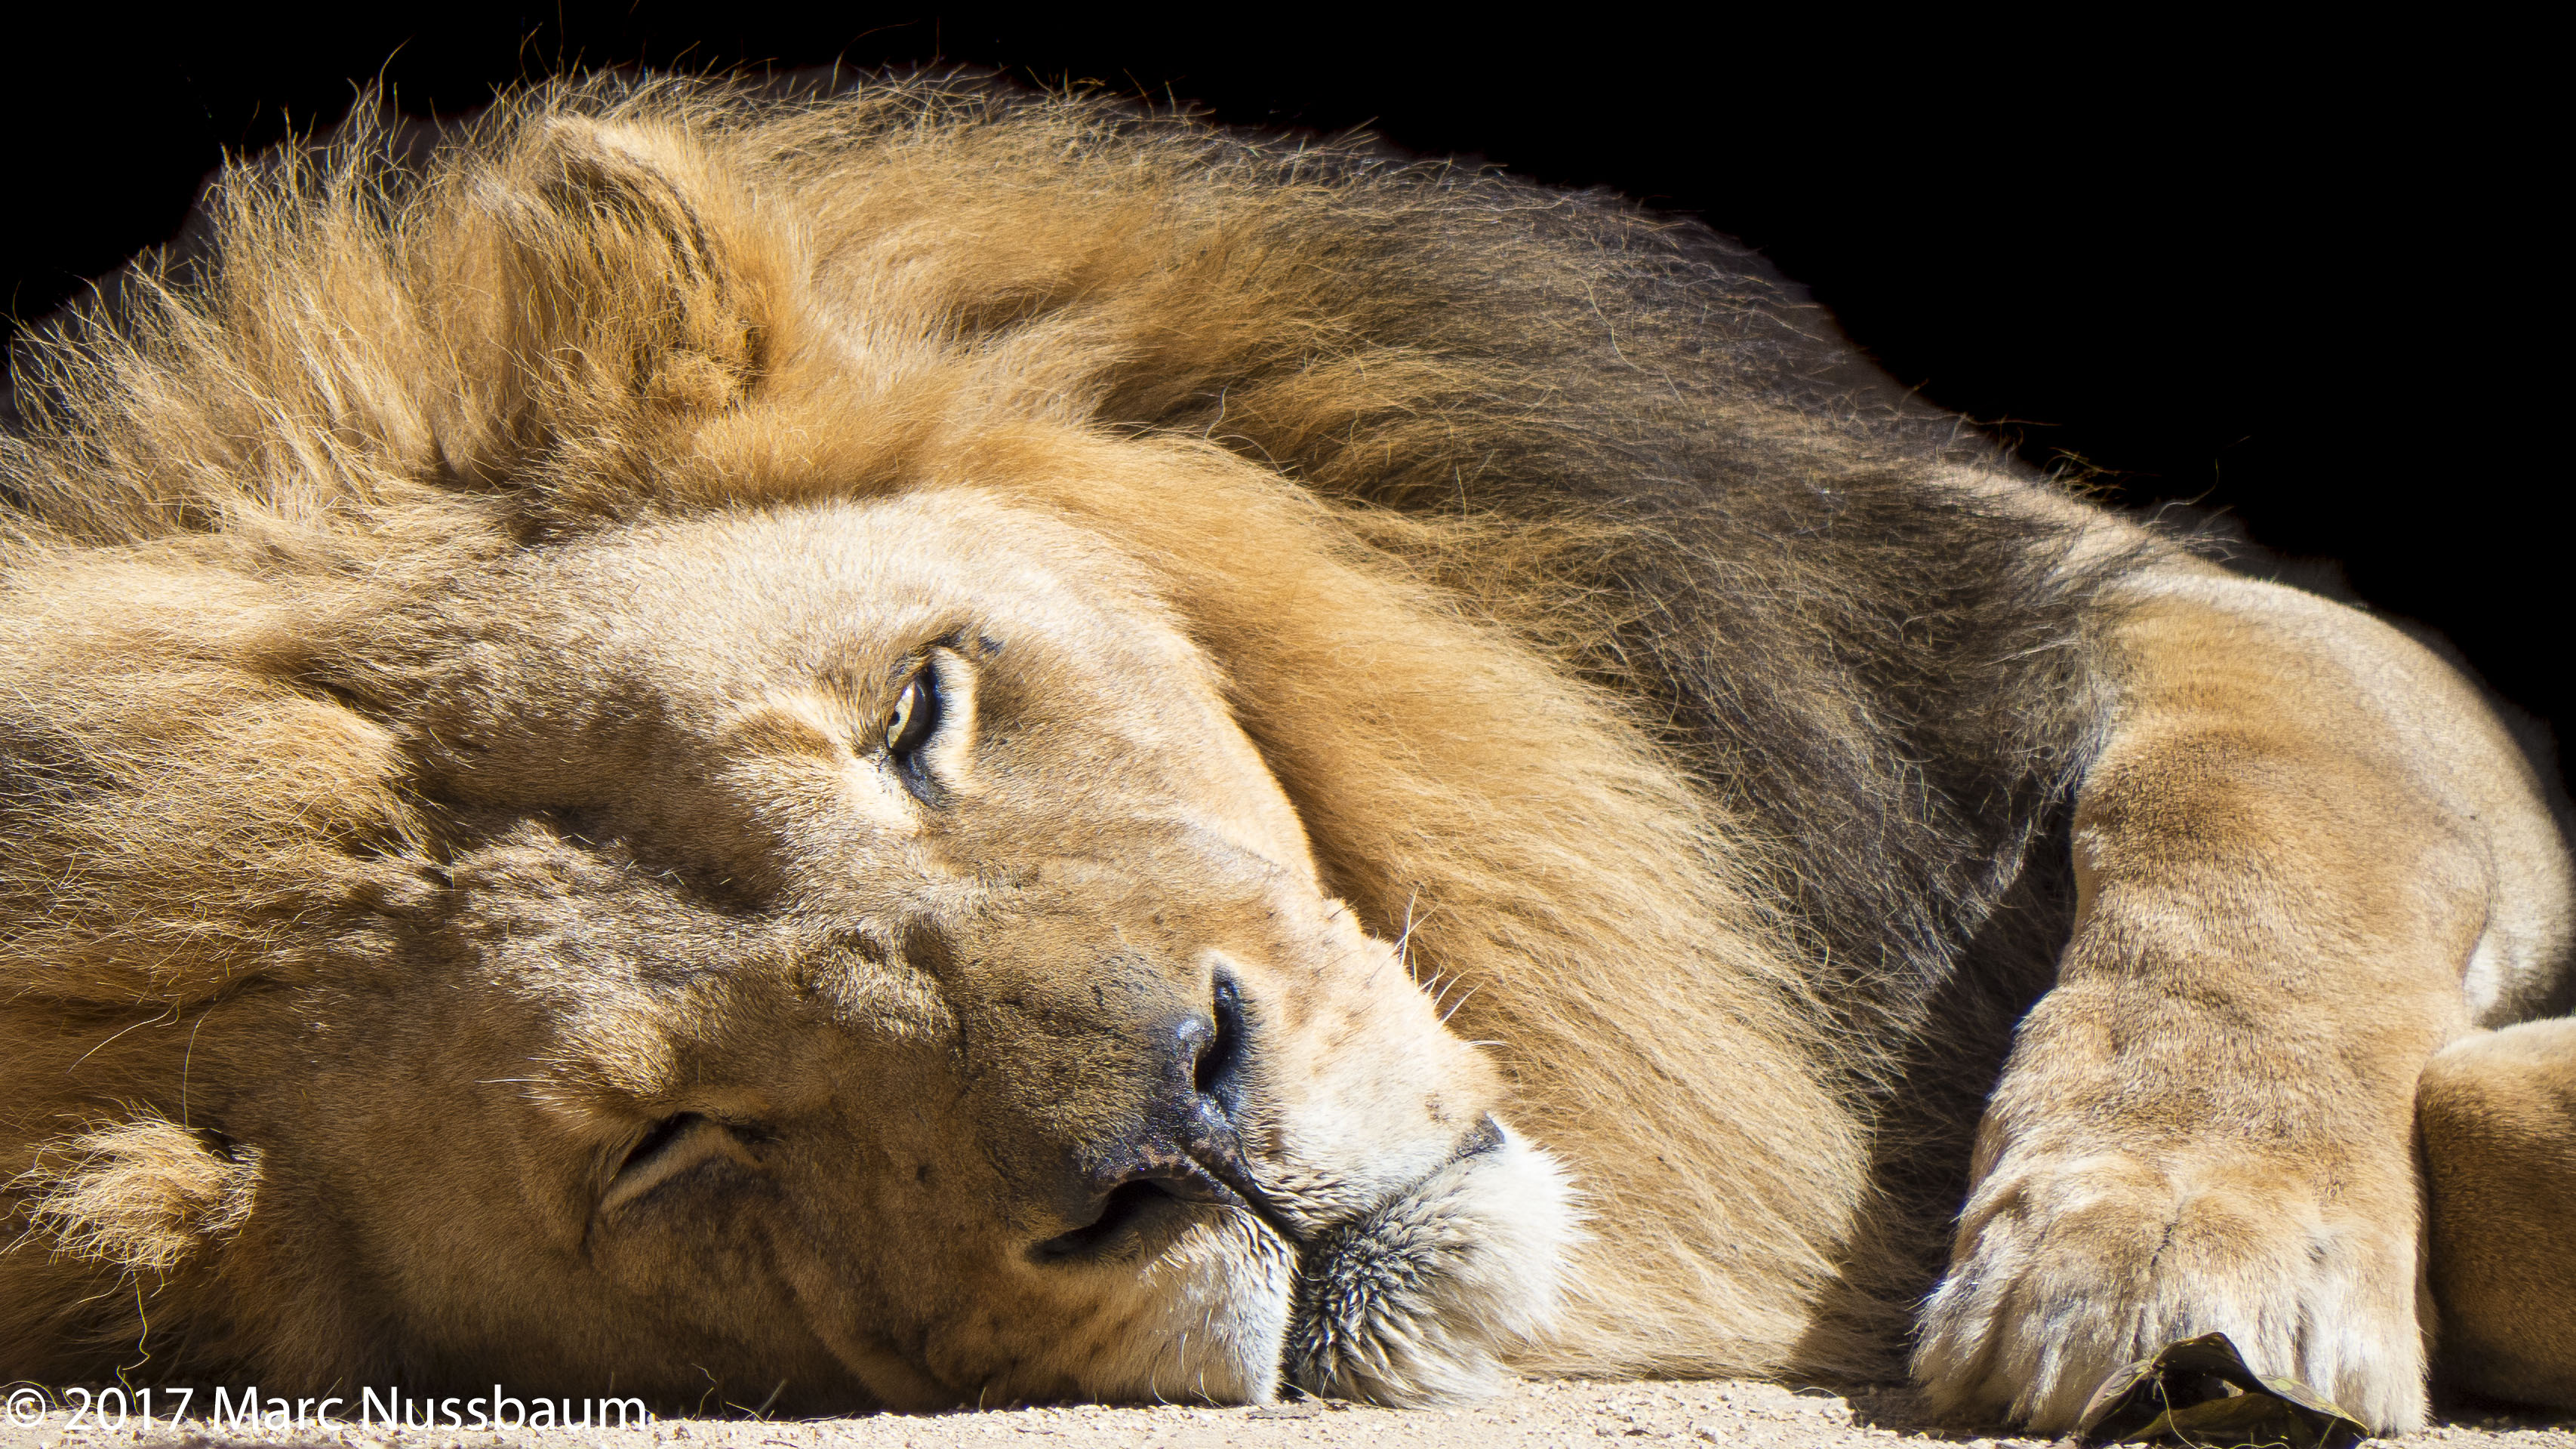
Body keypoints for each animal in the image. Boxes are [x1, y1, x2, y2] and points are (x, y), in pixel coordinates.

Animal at [1, 75, 2569, 1429]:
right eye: (669, 1149)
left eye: (915, 711)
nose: (1187, 1137)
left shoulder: (2198, 634)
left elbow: (2245, 865)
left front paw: (2154, 1259)